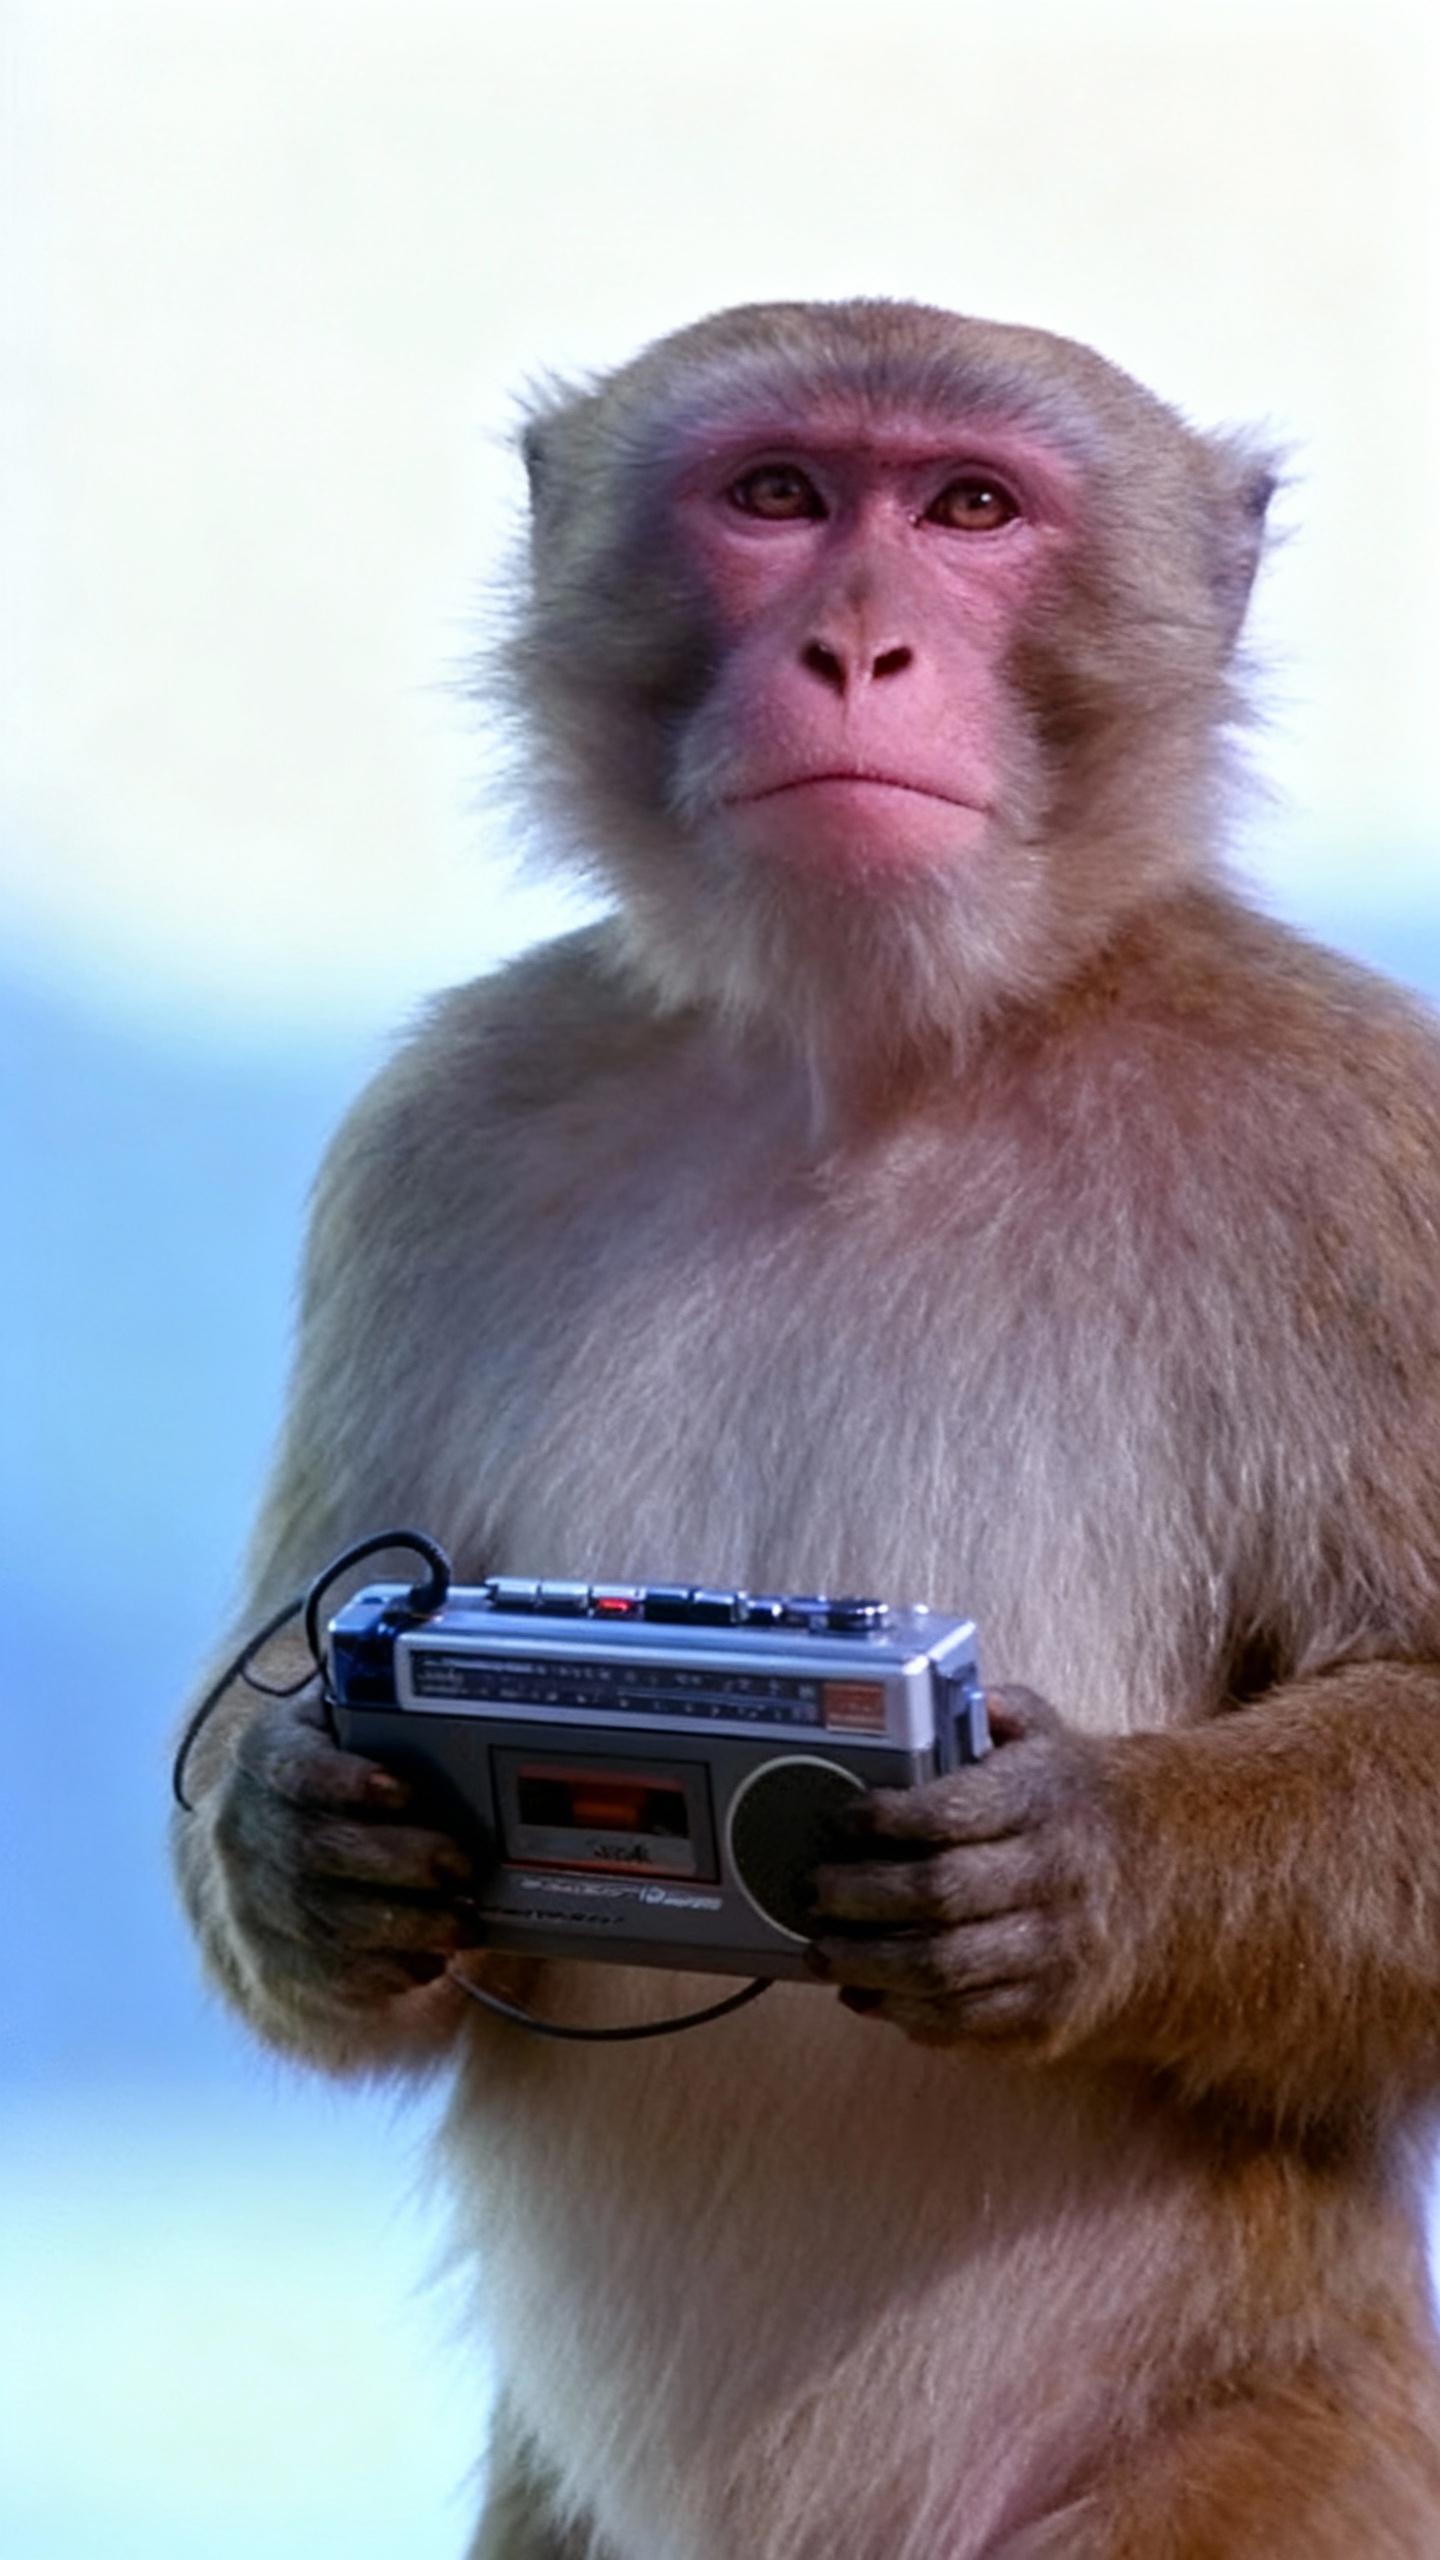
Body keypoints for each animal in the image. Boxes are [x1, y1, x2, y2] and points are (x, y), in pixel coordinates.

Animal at [173, 300, 1440, 2559]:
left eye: (971, 508)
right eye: (778, 496)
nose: (859, 645)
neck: (879, 1063)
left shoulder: (1366, 1147)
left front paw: (1083, 1864)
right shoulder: (430, 1136)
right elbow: (279, 1704)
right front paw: (308, 1841)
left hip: (1283, 2446)